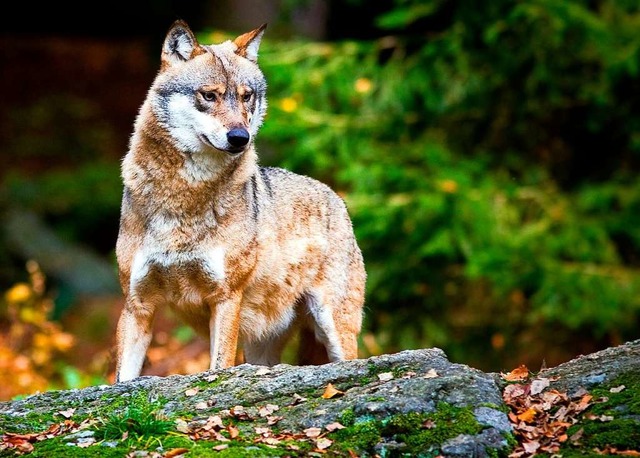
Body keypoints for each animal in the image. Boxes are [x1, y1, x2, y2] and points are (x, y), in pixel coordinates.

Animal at [113, 19, 368, 382]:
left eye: (247, 97)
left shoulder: (225, 297)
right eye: (209, 95)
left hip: (332, 327)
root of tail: (336, 196)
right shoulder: (137, 305)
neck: (184, 196)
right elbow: (123, 378)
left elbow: (219, 366)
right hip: (262, 348)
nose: (240, 137)